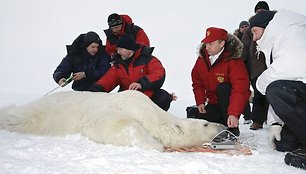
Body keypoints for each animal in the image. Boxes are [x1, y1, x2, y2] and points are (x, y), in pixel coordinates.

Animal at [0, 90, 225, 152]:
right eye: (205, 124)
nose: (223, 125)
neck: (152, 113)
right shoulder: (121, 107)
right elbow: (112, 125)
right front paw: (156, 144)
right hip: (40, 114)